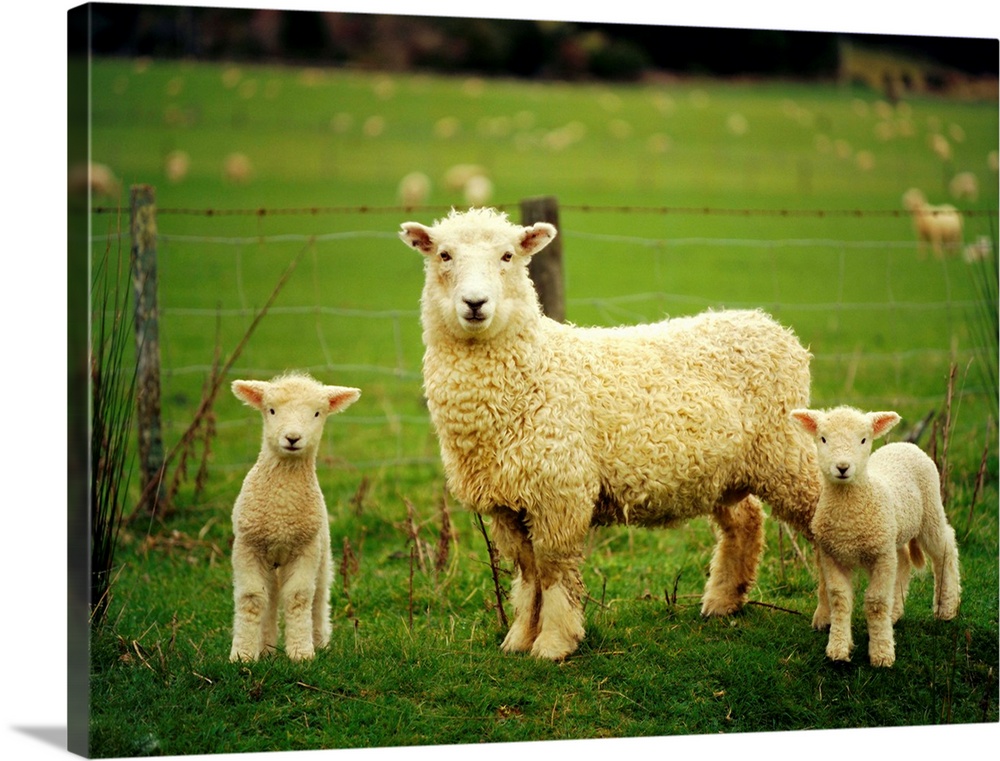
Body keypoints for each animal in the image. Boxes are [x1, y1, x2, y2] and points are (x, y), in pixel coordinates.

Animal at [229, 372, 362, 660]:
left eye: (317, 413)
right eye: (271, 410)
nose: (292, 438)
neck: (282, 507)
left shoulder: (306, 549)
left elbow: (299, 597)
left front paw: (301, 652)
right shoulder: (247, 547)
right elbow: (252, 599)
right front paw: (243, 654)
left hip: (323, 554)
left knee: (319, 597)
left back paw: (319, 641)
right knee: (270, 598)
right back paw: (266, 648)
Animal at [398, 206, 828, 660]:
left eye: (508, 255)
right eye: (443, 255)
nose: (475, 304)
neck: (533, 370)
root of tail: (769, 325)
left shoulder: (560, 490)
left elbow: (553, 569)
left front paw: (554, 643)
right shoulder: (507, 501)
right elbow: (527, 571)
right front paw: (518, 639)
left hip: (784, 451)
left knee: (822, 520)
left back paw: (829, 614)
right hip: (721, 469)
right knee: (745, 521)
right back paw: (723, 602)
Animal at [788, 404, 960, 664]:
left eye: (863, 439)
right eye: (823, 438)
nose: (842, 467)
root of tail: (904, 444)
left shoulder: (881, 556)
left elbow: (876, 602)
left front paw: (881, 653)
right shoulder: (832, 555)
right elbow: (839, 599)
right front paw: (838, 647)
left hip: (930, 510)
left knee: (945, 549)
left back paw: (946, 607)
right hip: (893, 533)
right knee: (904, 562)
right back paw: (895, 613)